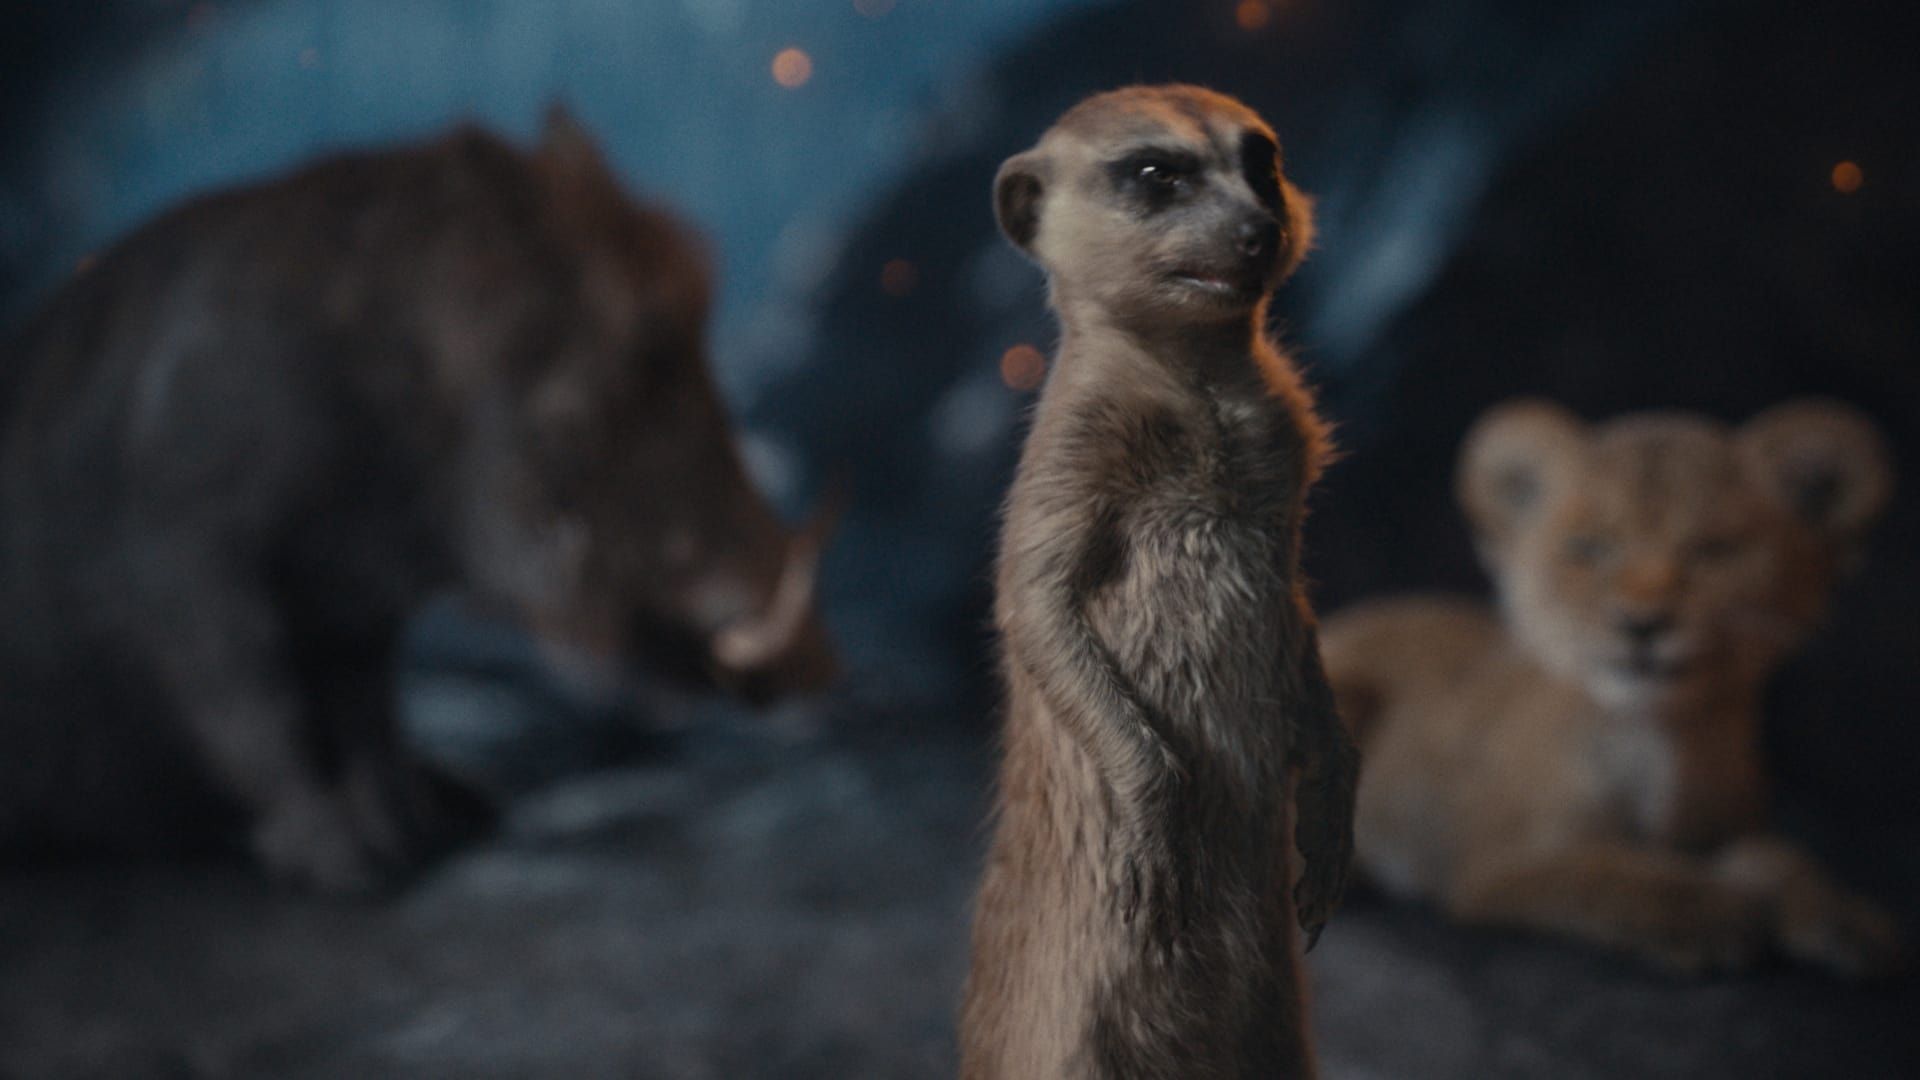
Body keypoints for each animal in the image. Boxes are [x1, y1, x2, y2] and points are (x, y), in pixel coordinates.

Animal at [1322, 398, 1904, 977]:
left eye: (1714, 550)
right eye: (1588, 548)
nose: (1642, 624)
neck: (1659, 736)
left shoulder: (1723, 828)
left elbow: (1784, 859)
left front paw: (1850, 921)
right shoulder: (1498, 861)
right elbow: (1600, 872)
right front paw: (1712, 911)